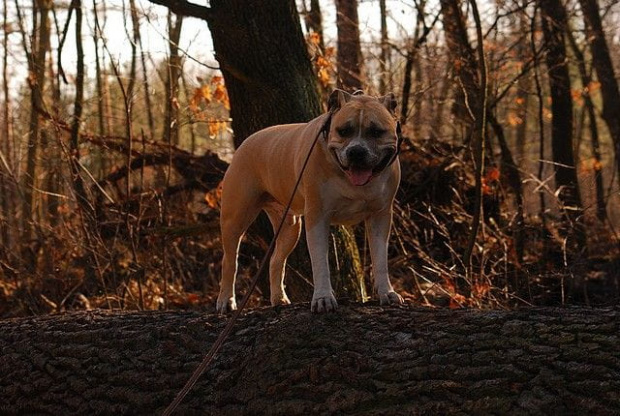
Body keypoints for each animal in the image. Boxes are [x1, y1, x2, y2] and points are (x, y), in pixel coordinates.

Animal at [216, 90, 404, 312]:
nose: (356, 151)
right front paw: (323, 298)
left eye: (376, 132)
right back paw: (226, 300)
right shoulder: (317, 217)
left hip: (290, 227)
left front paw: (387, 293)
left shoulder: (380, 217)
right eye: (343, 131)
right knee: (230, 261)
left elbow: (380, 259)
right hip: (235, 218)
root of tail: (245, 142)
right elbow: (320, 262)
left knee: (275, 260)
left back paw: (279, 298)